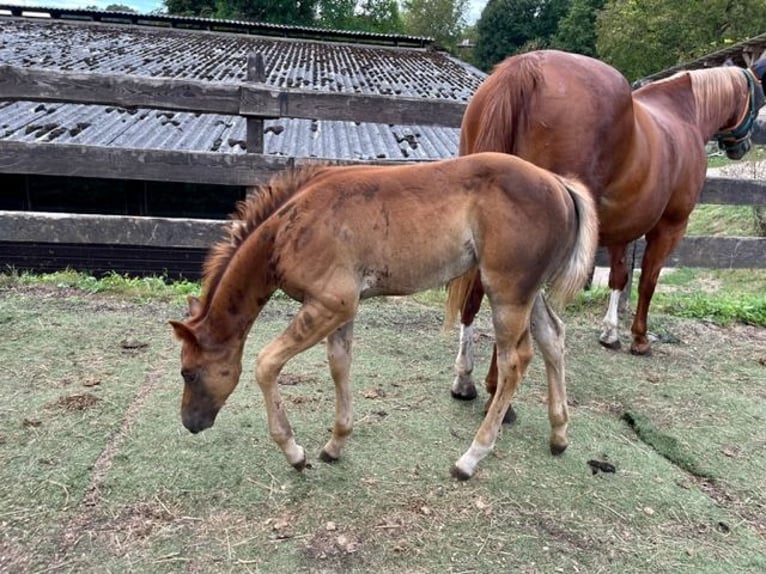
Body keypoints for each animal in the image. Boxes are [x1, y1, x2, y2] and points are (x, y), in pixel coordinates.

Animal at [172, 153, 600, 482]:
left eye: (187, 373)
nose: (190, 423)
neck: (287, 228)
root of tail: (559, 184)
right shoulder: (340, 308)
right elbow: (339, 364)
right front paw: (335, 444)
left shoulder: (331, 303)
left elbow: (265, 363)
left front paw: (295, 452)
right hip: (529, 292)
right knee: (553, 338)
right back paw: (559, 434)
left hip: (507, 292)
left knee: (515, 362)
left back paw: (470, 457)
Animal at [450, 50, 766, 418]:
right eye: (759, 98)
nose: (742, 146)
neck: (684, 116)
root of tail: (527, 67)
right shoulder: (669, 227)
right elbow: (647, 282)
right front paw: (639, 339)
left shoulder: (621, 231)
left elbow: (618, 276)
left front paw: (610, 333)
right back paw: (496, 395)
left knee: (473, 293)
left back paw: (465, 379)